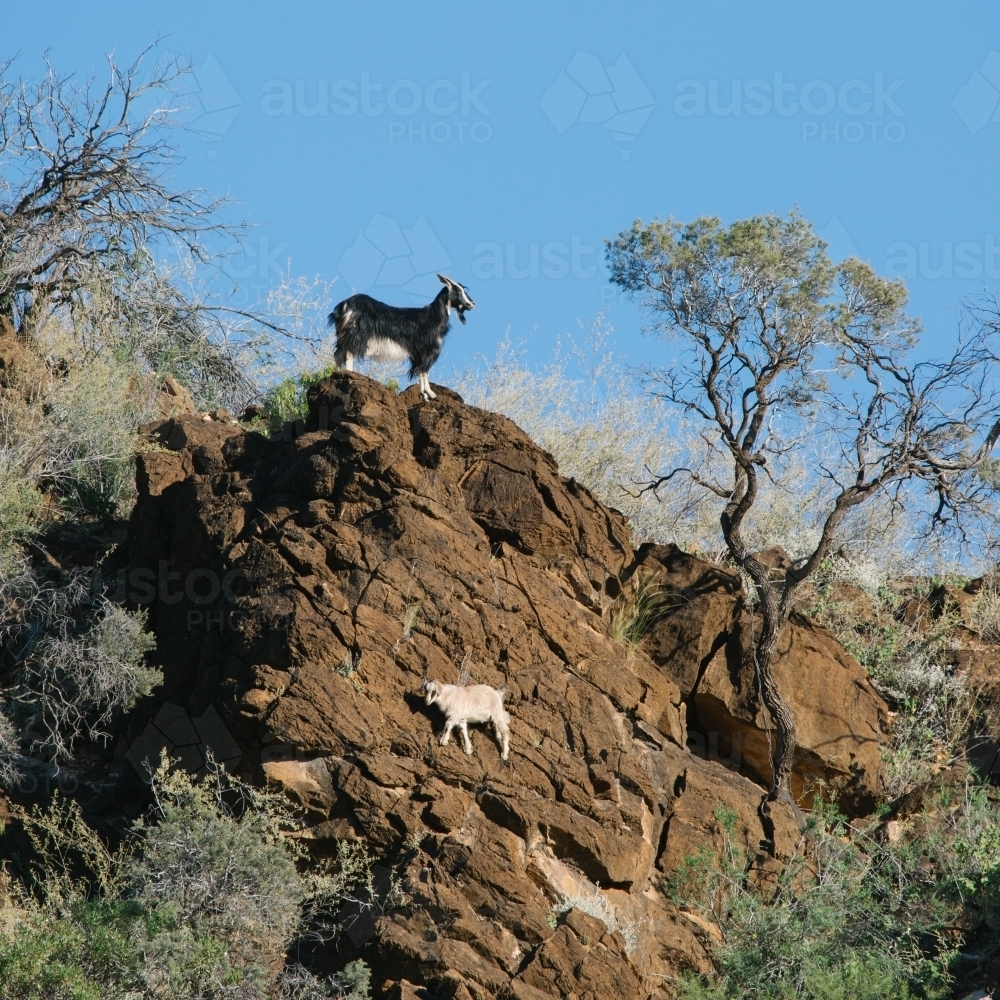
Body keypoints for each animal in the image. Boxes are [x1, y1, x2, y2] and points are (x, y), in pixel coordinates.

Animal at [328, 274, 475, 401]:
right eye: (458, 290)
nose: (472, 303)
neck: (433, 317)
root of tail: (343, 306)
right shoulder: (427, 350)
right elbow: (424, 371)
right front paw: (431, 394)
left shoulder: (418, 353)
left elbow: (420, 371)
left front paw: (424, 394)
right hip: (355, 334)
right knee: (349, 353)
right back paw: (350, 374)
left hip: (343, 336)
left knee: (338, 354)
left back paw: (339, 374)